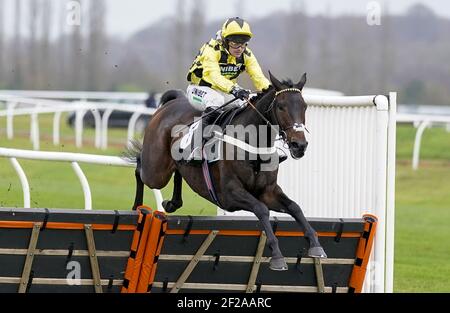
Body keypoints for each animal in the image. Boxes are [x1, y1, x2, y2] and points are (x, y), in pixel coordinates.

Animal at [126, 72, 326, 270]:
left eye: (304, 106)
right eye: (281, 106)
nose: (299, 145)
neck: (253, 144)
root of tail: (172, 102)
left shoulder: (268, 192)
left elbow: (295, 207)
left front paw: (316, 245)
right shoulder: (230, 194)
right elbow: (261, 209)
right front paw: (277, 256)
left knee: (176, 172)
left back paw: (172, 203)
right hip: (156, 170)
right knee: (139, 168)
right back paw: (136, 206)